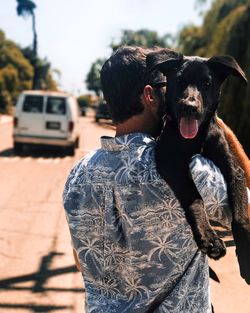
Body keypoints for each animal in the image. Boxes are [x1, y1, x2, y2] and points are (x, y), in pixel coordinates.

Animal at [146, 48, 250, 282]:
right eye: (179, 80)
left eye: (207, 83)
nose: (189, 108)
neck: (197, 138)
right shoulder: (169, 162)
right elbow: (195, 198)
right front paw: (209, 238)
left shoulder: (234, 170)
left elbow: (240, 212)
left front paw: (247, 259)